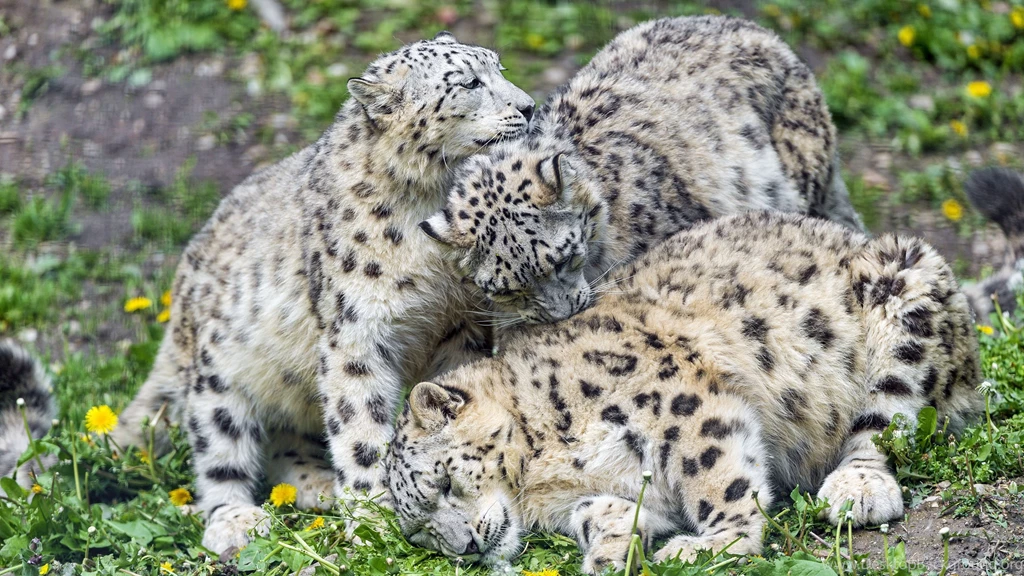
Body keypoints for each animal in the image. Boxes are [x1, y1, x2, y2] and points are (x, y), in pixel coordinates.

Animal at [108, 31, 535, 555]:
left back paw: (317, 487)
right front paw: (373, 516)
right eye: (469, 82)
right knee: (219, 455)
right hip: (220, 379)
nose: (528, 106)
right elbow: (360, 425)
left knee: (286, 440)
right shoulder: (357, 333)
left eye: (498, 66)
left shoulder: (459, 321)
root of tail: (180, 299)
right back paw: (238, 519)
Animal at [386, 211, 982, 573]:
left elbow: (718, 477)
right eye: (420, 533)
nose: (465, 545)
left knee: (887, 422)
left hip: (905, 290)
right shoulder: (598, 493)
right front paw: (608, 556)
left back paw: (857, 490)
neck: (540, 478)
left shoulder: (684, 407)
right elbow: (603, 513)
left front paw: (711, 545)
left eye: (443, 482)